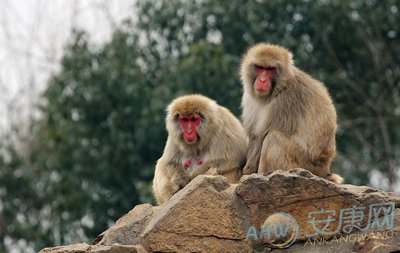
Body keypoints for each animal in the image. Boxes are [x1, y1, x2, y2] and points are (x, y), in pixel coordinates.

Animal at [239, 43, 342, 184]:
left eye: (270, 69)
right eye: (260, 67)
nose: (263, 80)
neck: (278, 89)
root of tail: (324, 170)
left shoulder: (285, 102)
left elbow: (261, 138)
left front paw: (248, 174)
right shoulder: (249, 98)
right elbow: (255, 136)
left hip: (304, 165)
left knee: (274, 137)